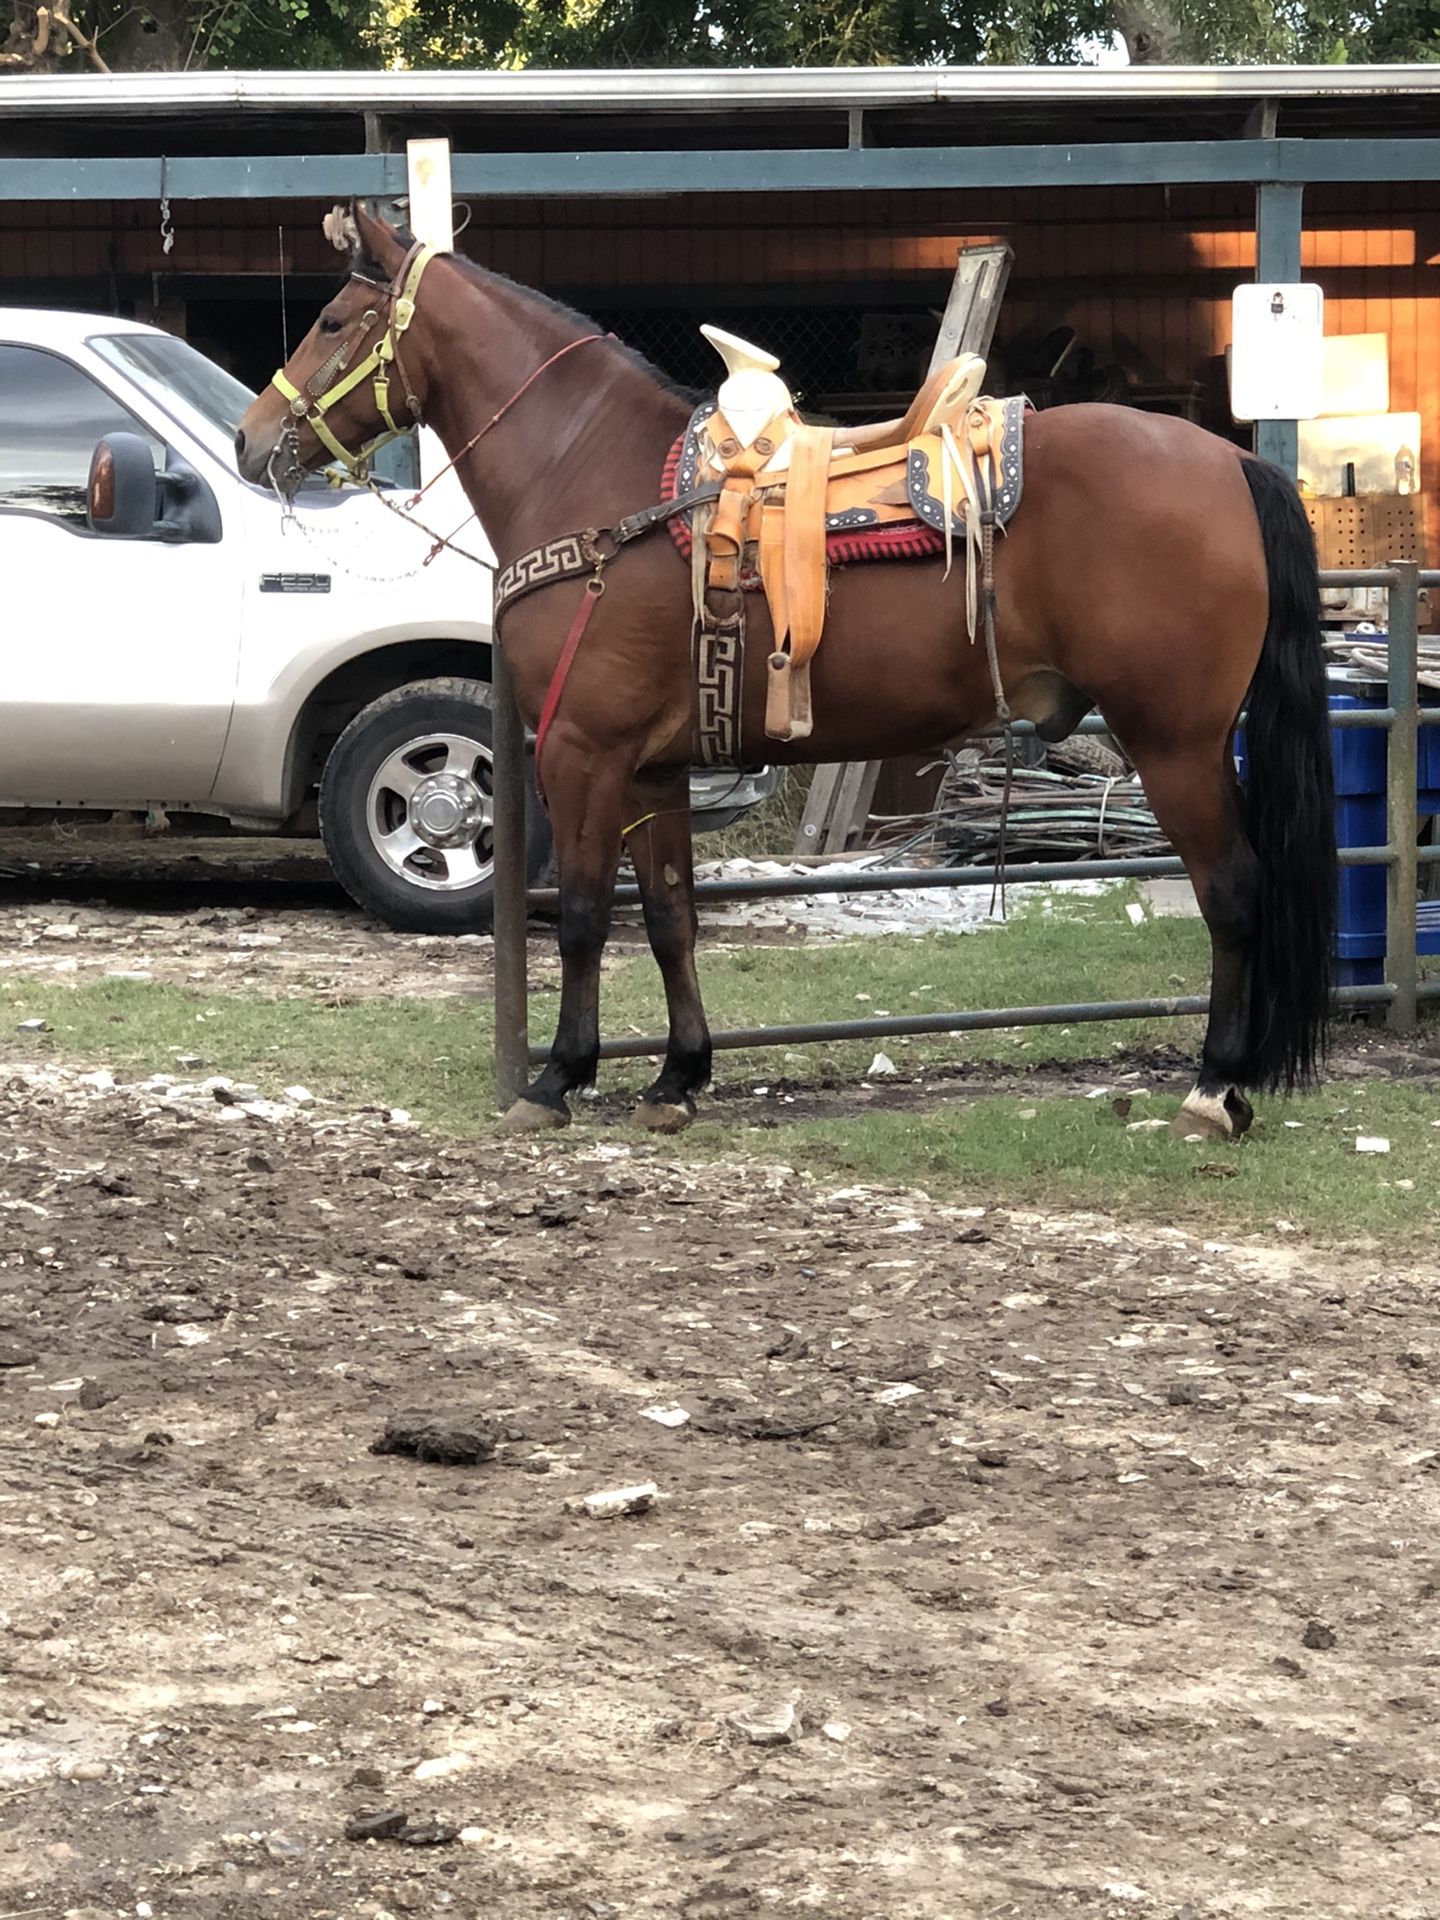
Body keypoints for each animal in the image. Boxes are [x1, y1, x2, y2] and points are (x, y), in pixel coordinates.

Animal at [234, 206, 1344, 1136]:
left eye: (334, 319)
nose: (252, 442)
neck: (596, 483)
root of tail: (1230, 463)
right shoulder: (653, 767)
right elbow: (671, 918)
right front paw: (678, 1077)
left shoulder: (584, 753)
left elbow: (586, 918)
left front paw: (557, 1078)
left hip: (1176, 744)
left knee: (1233, 891)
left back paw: (1214, 1088)